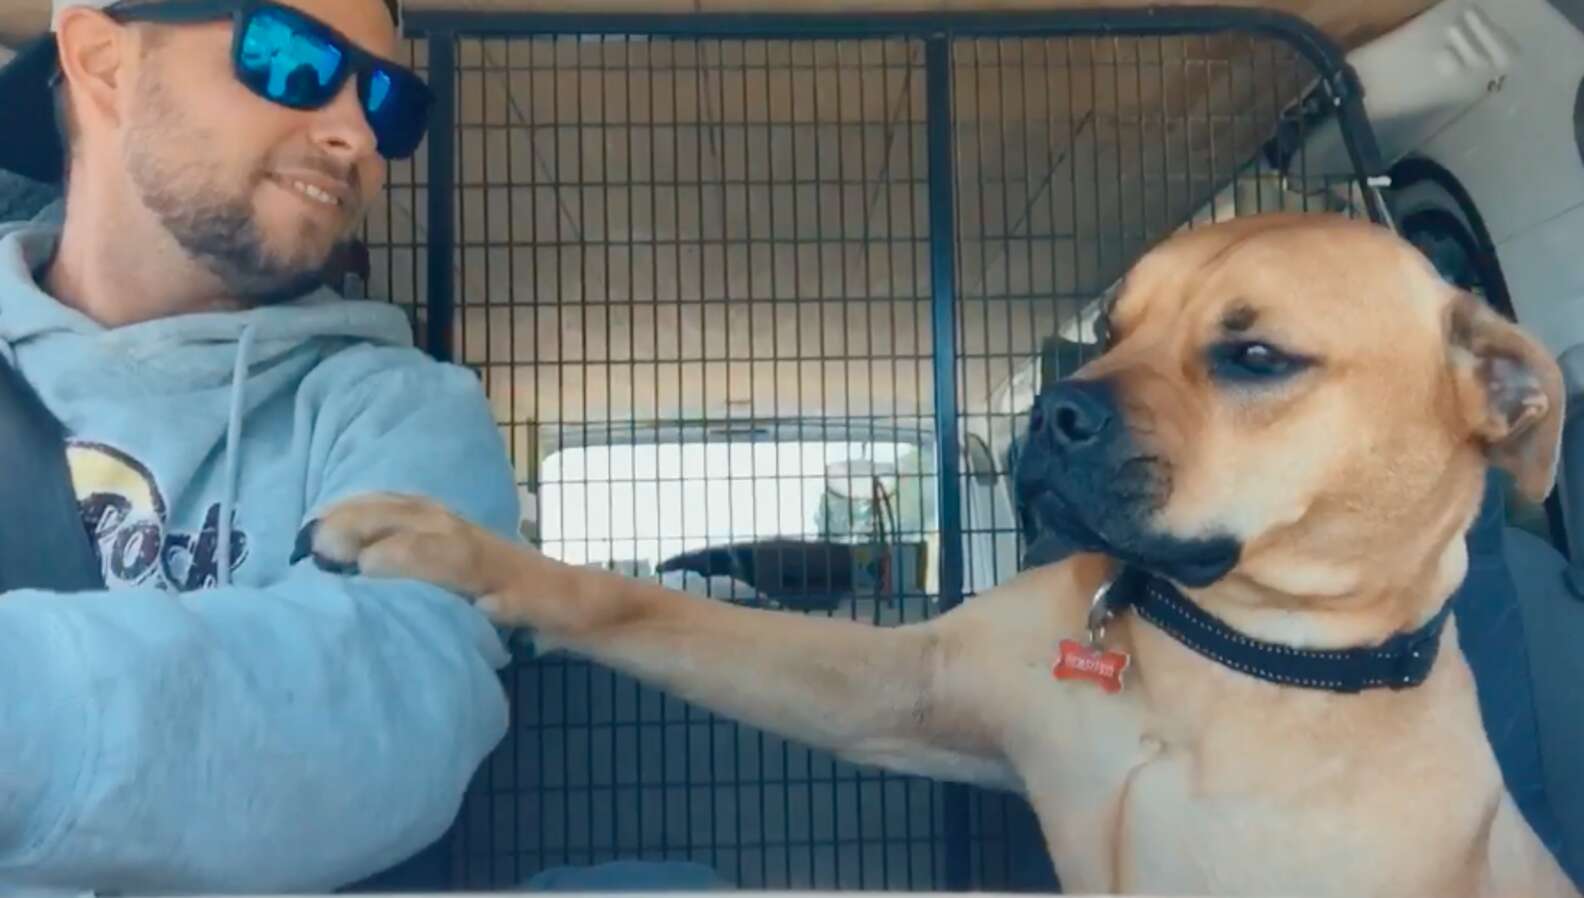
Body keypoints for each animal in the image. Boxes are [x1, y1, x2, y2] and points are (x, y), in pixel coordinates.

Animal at [305, 212, 1571, 898]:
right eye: (1111, 328)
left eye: (1255, 355)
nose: (1052, 411)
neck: (1224, 652)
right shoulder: (895, 681)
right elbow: (658, 609)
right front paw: (466, 549)